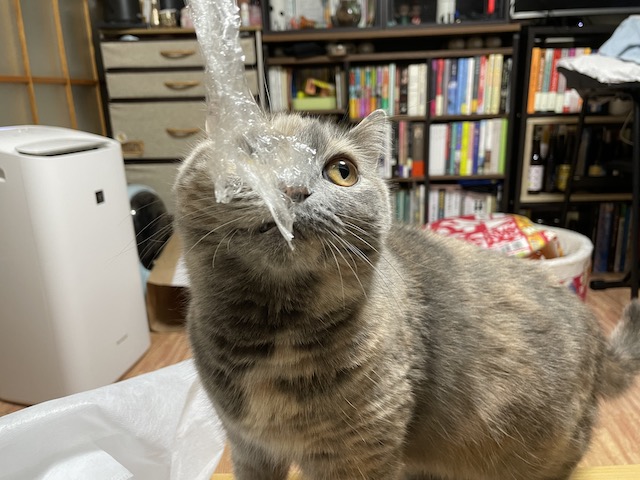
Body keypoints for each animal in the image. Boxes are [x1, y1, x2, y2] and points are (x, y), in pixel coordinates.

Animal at [174, 110, 640, 480]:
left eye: (342, 171)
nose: (292, 188)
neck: (276, 328)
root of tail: (597, 338)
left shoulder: (360, 451)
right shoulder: (249, 446)